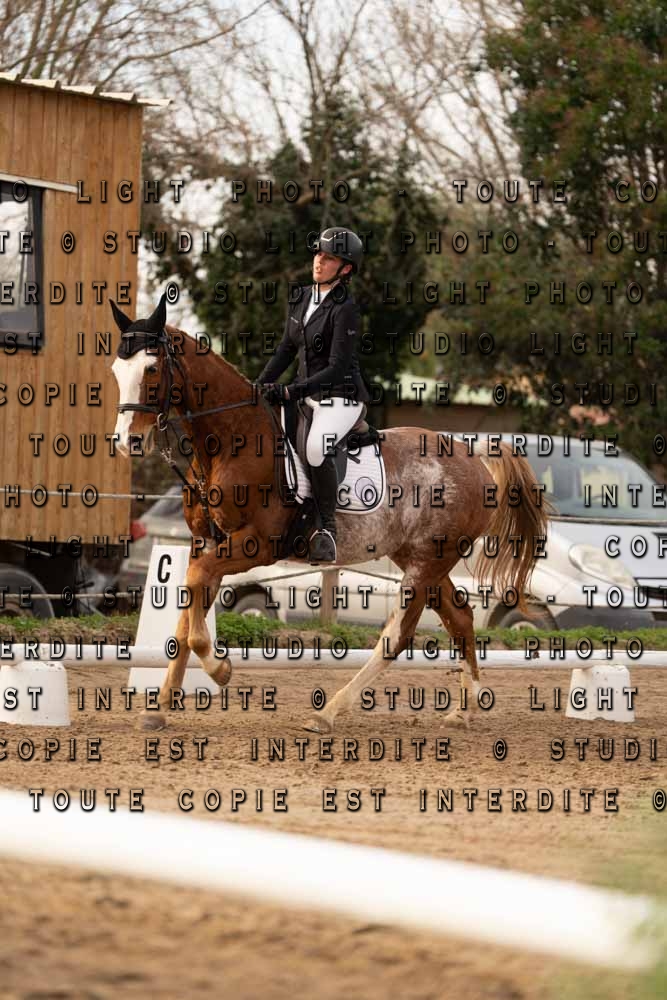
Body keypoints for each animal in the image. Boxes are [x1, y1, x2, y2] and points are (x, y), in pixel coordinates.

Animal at [110, 294, 549, 733]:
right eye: (117, 369)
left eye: (151, 368)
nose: (127, 442)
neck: (230, 442)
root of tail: (474, 455)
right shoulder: (207, 543)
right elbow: (187, 612)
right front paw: (160, 706)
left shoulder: (256, 545)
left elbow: (197, 597)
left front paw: (220, 670)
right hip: (419, 557)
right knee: (460, 617)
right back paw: (465, 707)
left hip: (427, 562)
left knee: (398, 636)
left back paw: (328, 713)